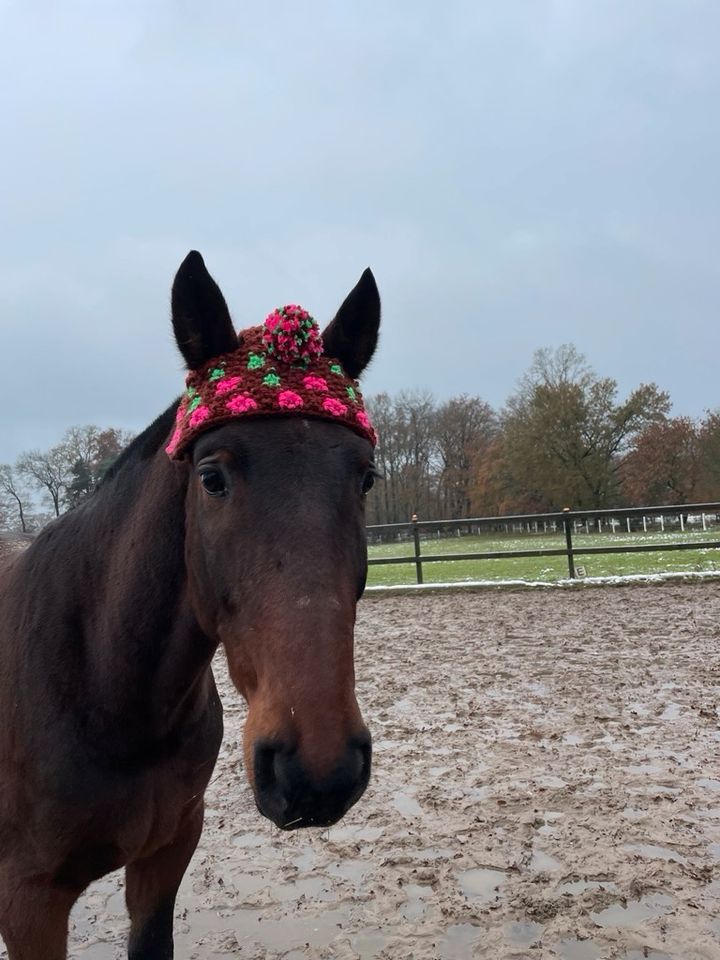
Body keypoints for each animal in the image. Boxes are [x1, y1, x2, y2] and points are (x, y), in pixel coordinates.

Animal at [0, 251, 382, 956]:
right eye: (212, 478)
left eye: (366, 477)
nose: (319, 771)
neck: (102, 691)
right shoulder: (29, 899)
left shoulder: (165, 855)